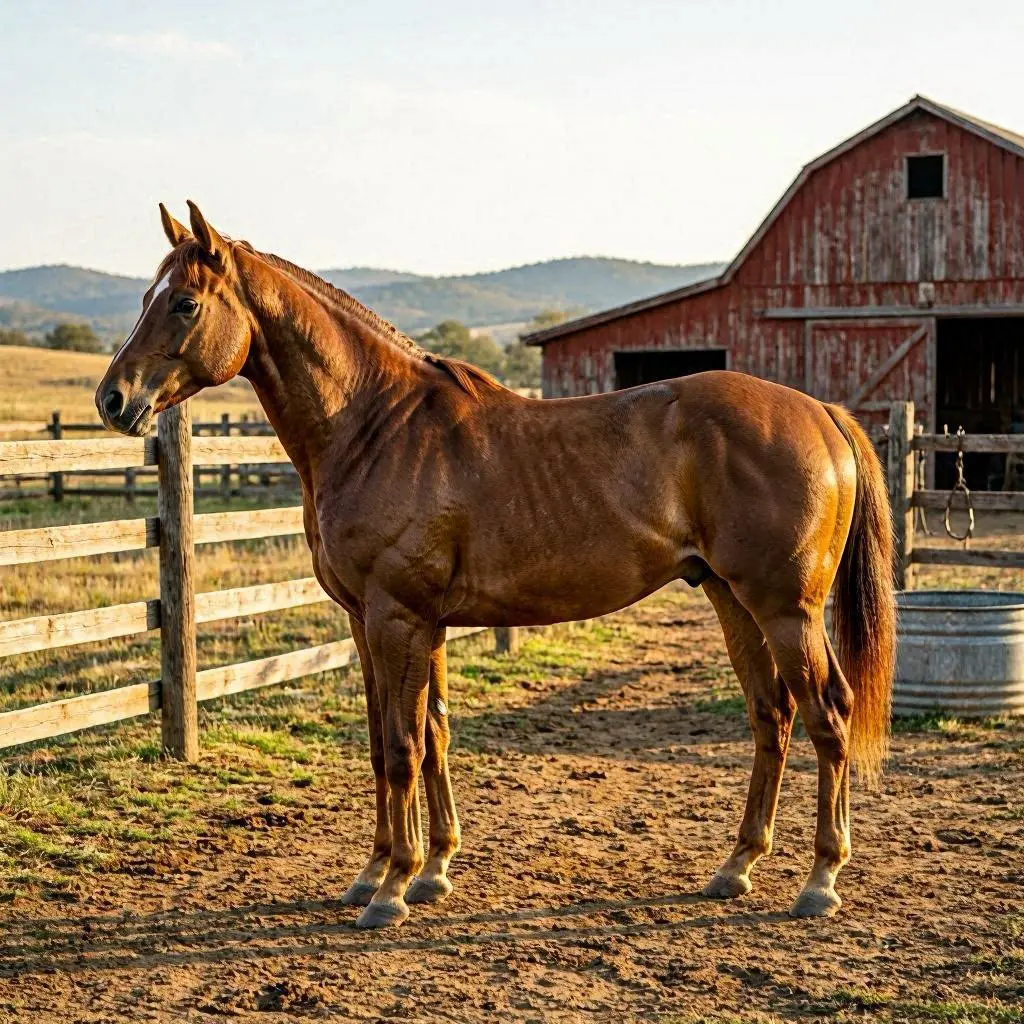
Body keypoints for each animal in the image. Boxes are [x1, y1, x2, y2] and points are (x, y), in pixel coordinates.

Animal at [96, 202, 896, 929]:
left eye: (184, 301)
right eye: (145, 296)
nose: (113, 399)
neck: (375, 426)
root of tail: (823, 413)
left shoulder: (397, 617)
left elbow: (402, 746)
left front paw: (392, 888)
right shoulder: (387, 623)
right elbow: (414, 738)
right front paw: (410, 871)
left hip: (786, 609)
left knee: (828, 713)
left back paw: (820, 881)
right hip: (732, 599)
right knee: (772, 715)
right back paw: (736, 867)